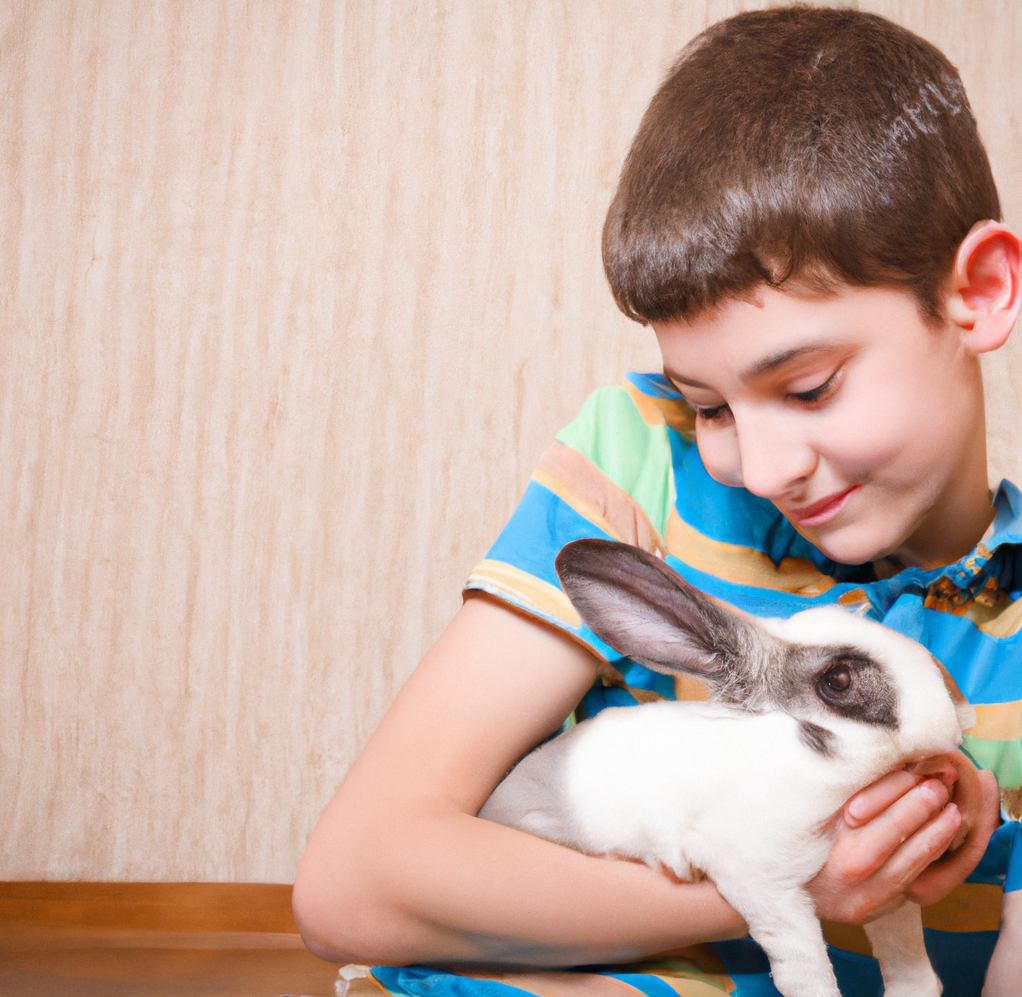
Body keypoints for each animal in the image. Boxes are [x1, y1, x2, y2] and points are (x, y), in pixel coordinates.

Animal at [482, 539, 977, 997]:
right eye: (839, 681)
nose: (953, 718)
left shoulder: (894, 895)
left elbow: (904, 950)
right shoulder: (764, 886)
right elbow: (806, 968)